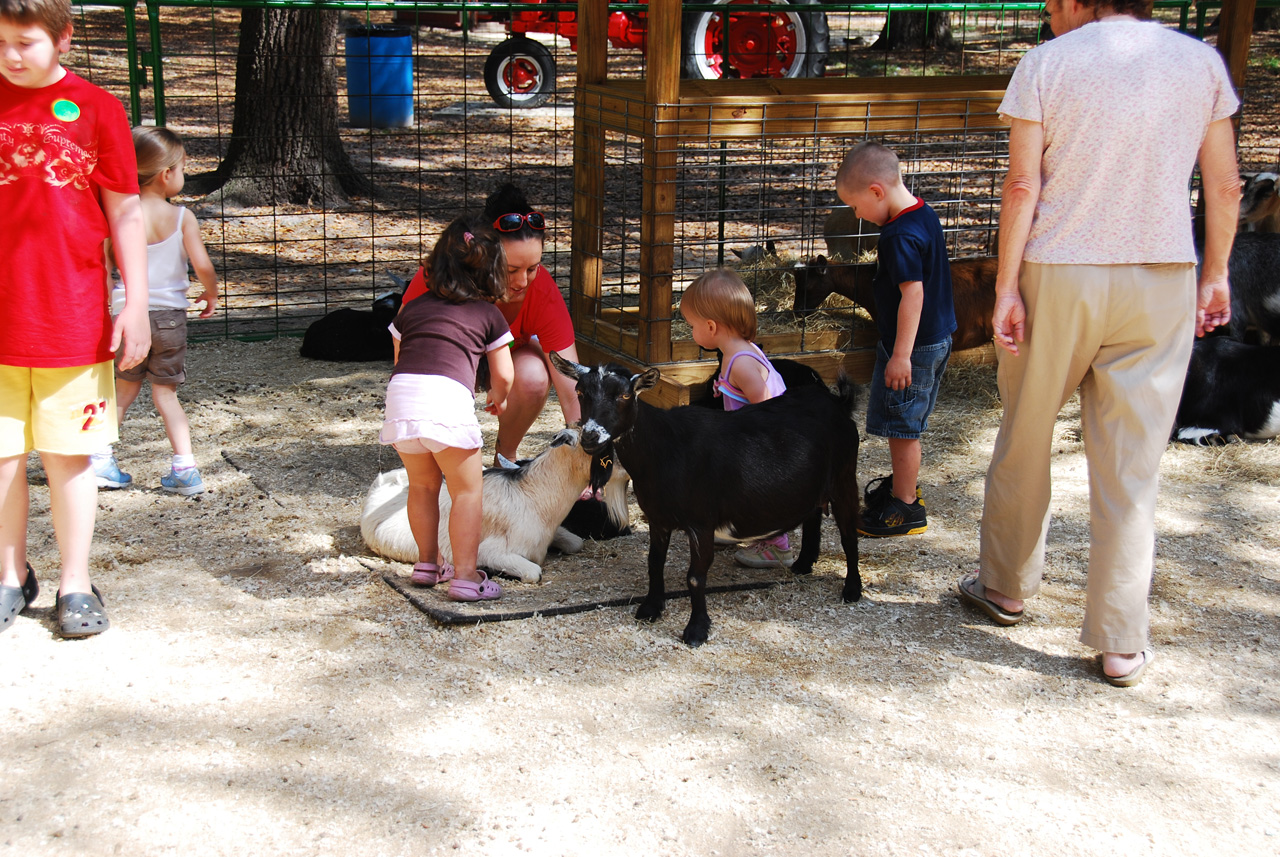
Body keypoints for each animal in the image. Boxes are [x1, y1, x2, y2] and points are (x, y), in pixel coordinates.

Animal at [360, 429, 629, 583]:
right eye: (597, 444)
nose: (627, 468)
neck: (533, 496)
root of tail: (382, 483)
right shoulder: (489, 551)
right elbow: (533, 572)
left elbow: (576, 542)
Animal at [550, 353, 860, 647]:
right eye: (580, 392)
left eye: (625, 395)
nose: (591, 436)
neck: (664, 449)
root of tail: (837, 402)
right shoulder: (658, 518)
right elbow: (654, 562)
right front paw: (650, 608)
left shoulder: (701, 522)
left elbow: (695, 577)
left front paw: (696, 631)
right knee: (814, 515)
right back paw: (803, 565)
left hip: (845, 478)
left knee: (848, 535)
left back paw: (852, 590)